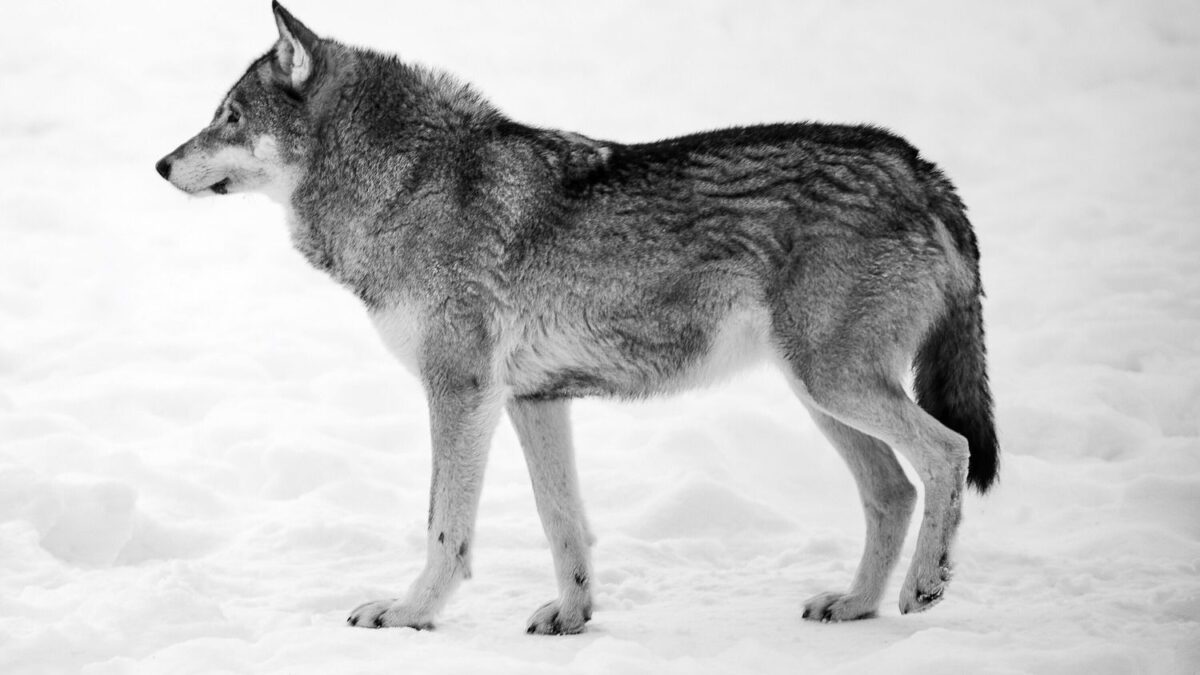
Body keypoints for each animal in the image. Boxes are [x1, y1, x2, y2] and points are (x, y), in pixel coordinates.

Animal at [156, 2, 998, 634]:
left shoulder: (458, 392)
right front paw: (572, 615)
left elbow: (443, 525)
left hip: (833, 384)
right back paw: (854, 604)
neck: (406, 185)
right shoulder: (534, 399)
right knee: (891, 491)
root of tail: (920, 167)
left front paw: (410, 613)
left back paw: (924, 585)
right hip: (819, 394)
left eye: (229, 117)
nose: (161, 164)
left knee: (947, 451)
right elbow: (560, 521)